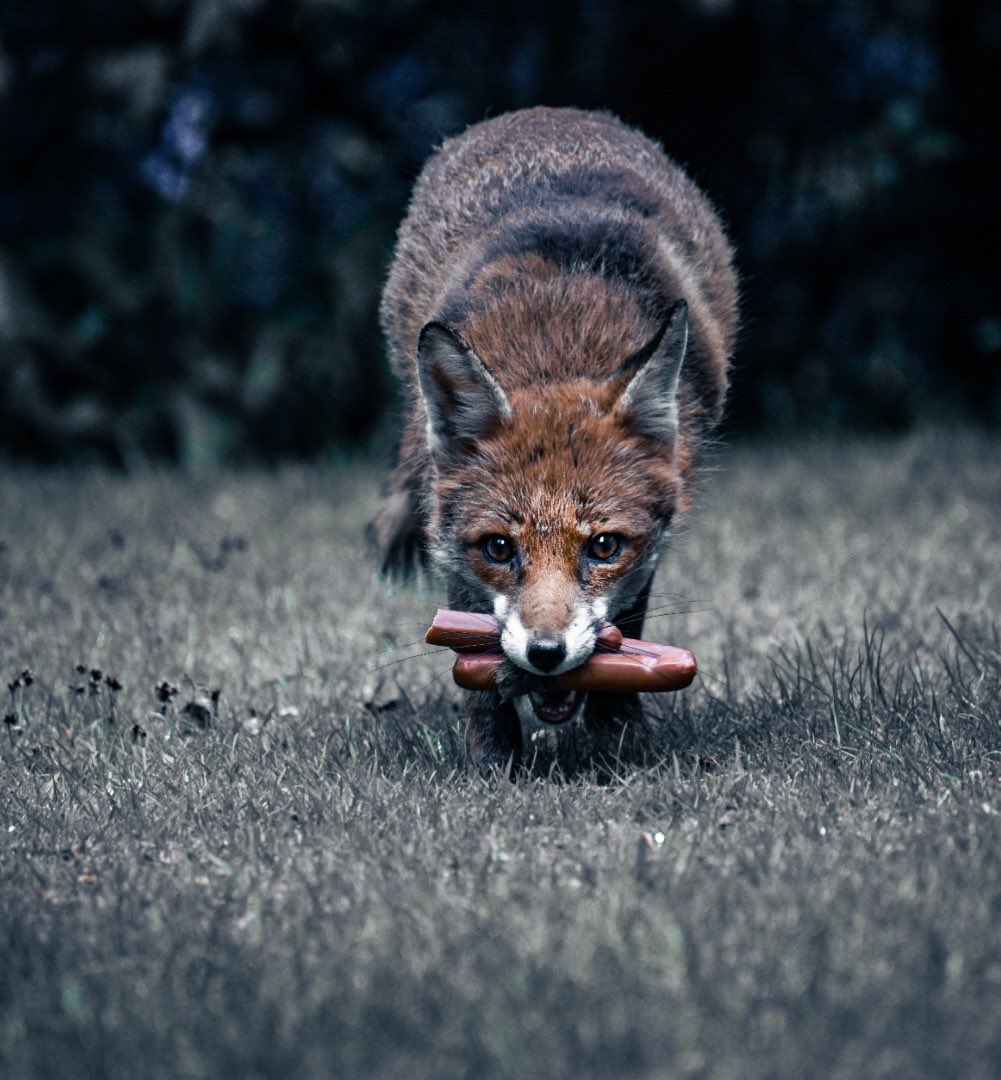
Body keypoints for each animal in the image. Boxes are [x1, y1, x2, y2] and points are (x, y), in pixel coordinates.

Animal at [371, 107, 738, 768]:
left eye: (603, 547)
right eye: (498, 548)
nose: (546, 656)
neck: (559, 344)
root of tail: (549, 114)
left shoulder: (644, 557)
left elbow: (628, 629)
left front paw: (616, 744)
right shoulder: (454, 544)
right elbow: (475, 656)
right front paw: (495, 765)